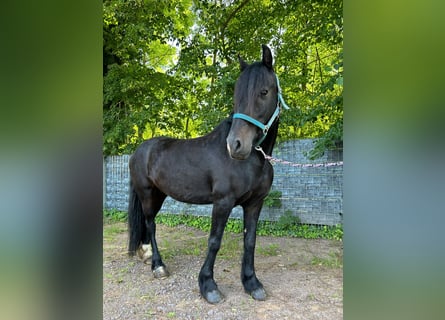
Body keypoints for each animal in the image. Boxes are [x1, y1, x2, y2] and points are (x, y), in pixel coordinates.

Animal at [127, 43, 284, 304]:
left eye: (264, 92)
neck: (255, 159)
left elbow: (250, 241)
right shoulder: (222, 202)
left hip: (159, 195)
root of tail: (139, 150)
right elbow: (214, 241)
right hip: (148, 195)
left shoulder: (255, 203)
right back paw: (158, 266)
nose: (235, 145)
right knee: (151, 224)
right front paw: (208, 286)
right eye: (236, 95)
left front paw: (252, 283)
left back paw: (146, 254)